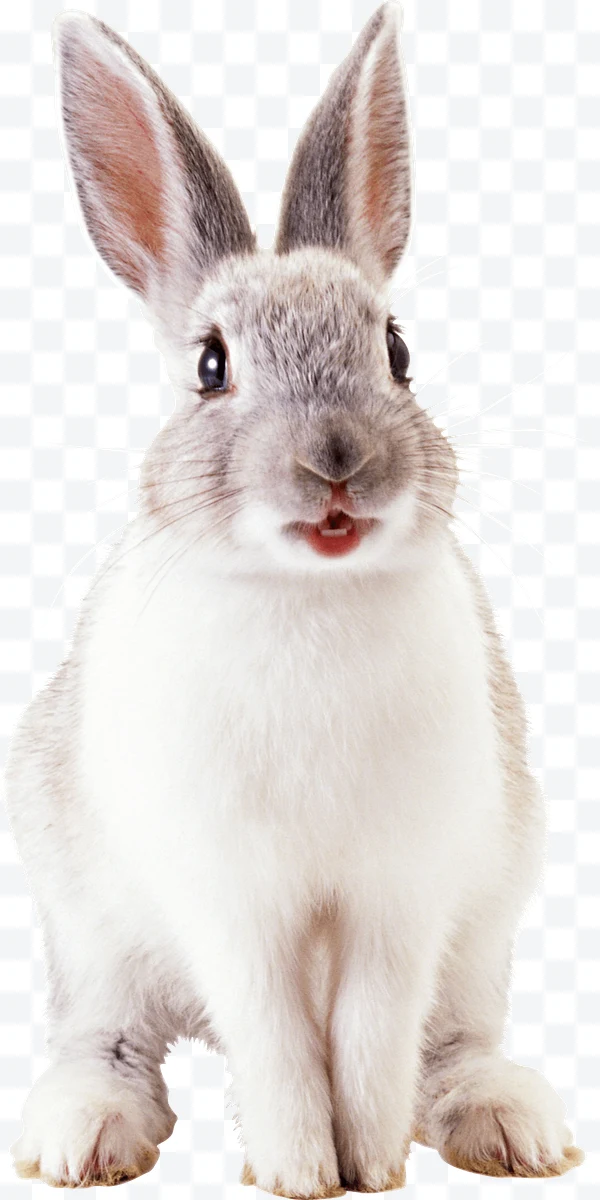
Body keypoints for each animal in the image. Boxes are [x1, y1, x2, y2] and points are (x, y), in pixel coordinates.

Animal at [4, 4, 584, 1196]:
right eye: (210, 366)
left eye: (397, 351)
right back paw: (82, 1133)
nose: (336, 463)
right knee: (106, 1036)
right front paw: (298, 1171)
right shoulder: (234, 904)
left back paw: (510, 1125)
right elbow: (277, 1041)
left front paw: (369, 1167)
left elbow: (369, 1041)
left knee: (452, 1042)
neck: (309, 595)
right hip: (90, 931)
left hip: (484, 928)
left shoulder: (399, 900)